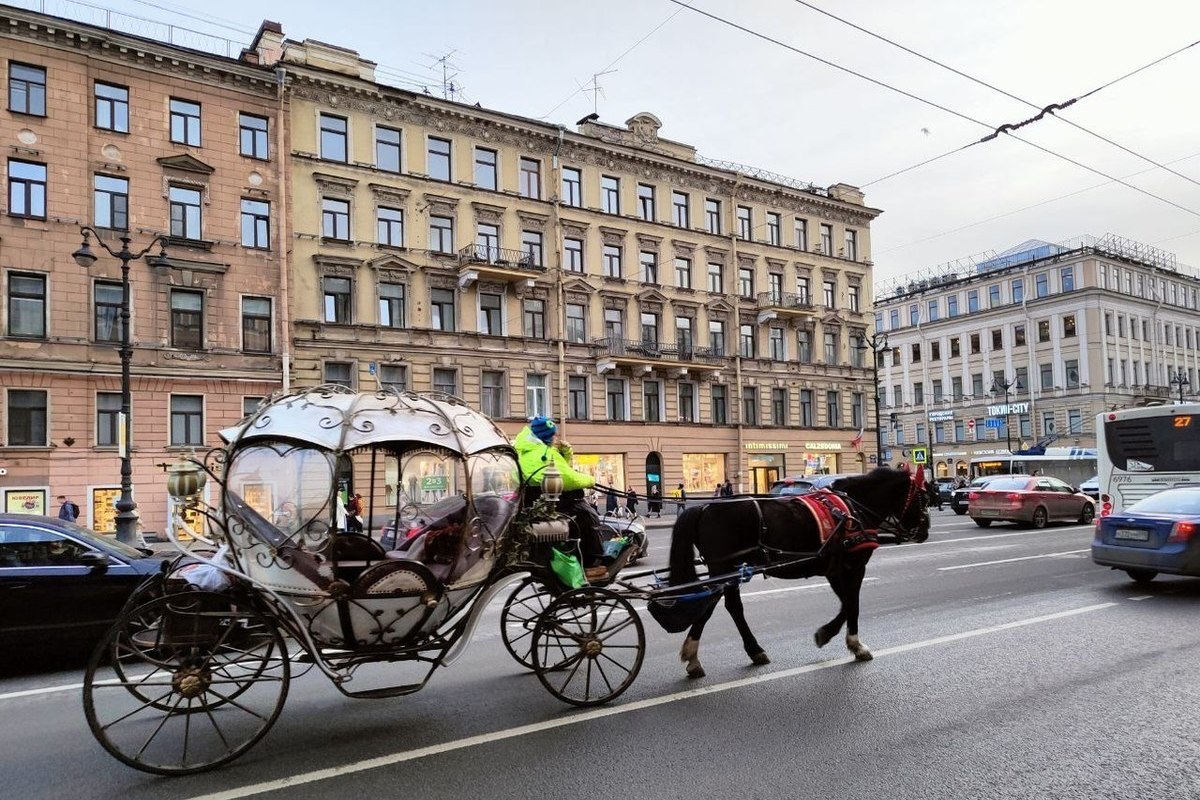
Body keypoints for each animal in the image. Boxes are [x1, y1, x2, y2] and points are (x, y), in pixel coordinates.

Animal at [667, 465, 926, 681]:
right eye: (922, 497)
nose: (926, 529)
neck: (853, 509)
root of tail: (704, 507)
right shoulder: (855, 566)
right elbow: (853, 603)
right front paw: (852, 643)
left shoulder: (834, 569)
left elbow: (845, 602)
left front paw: (828, 634)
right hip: (725, 568)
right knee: (719, 605)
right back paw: (704, 655)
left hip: (729, 570)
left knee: (727, 606)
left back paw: (737, 653)